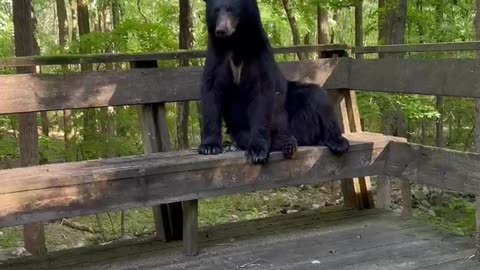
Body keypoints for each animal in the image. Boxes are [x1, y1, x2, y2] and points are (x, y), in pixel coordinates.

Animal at [198, 0, 348, 165]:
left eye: (231, 10)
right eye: (216, 11)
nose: (221, 30)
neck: (235, 43)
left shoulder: (258, 53)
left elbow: (262, 92)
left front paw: (257, 151)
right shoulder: (217, 55)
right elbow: (212, 90)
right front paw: (209, 146)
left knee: (318, 97)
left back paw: (337, 141)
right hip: (240, 128)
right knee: (246, 136)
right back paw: (288, 143)